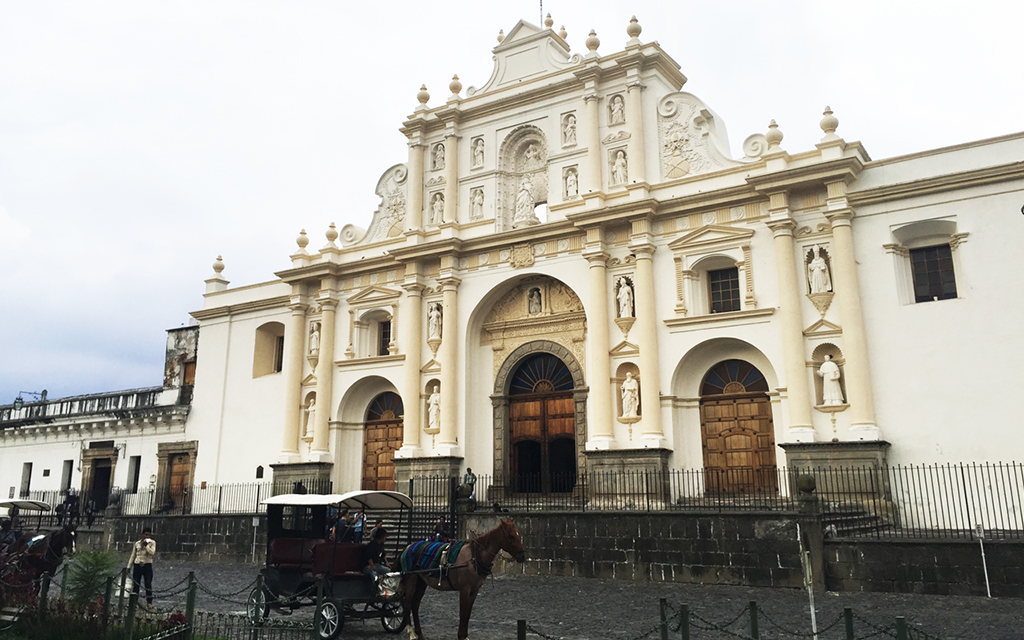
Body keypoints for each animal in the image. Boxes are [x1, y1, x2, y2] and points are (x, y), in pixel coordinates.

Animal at [399, 520, 528, 638]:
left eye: (519, 535)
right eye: (511, 536)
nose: (522, 556)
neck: (474, 557)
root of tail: (408, 547)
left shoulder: (474, 590)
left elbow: (467, 614)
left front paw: (465, 636)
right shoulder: (465, 589)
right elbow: (462, 613)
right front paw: (461, 636)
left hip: (422, 581)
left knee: (415, 604)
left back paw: (419, 632)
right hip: (411, 579)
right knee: (407, 603)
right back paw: (411, 632)